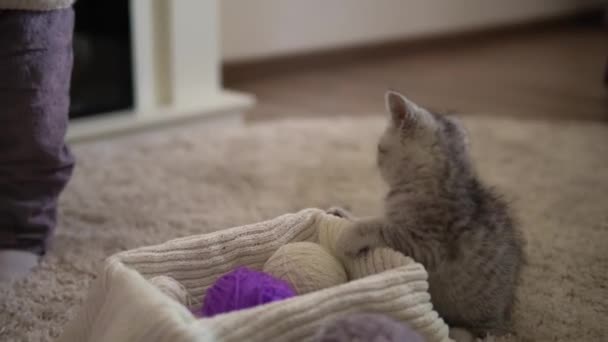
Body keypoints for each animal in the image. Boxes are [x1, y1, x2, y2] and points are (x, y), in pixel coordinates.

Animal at [330, 90, 524, 336]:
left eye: (379, 149)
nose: (376, 162)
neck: (444, 180)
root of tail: (504, 317)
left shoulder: (428, 245)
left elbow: (380, 227)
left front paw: (349, 236)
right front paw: (343, 214)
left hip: (479, 319)